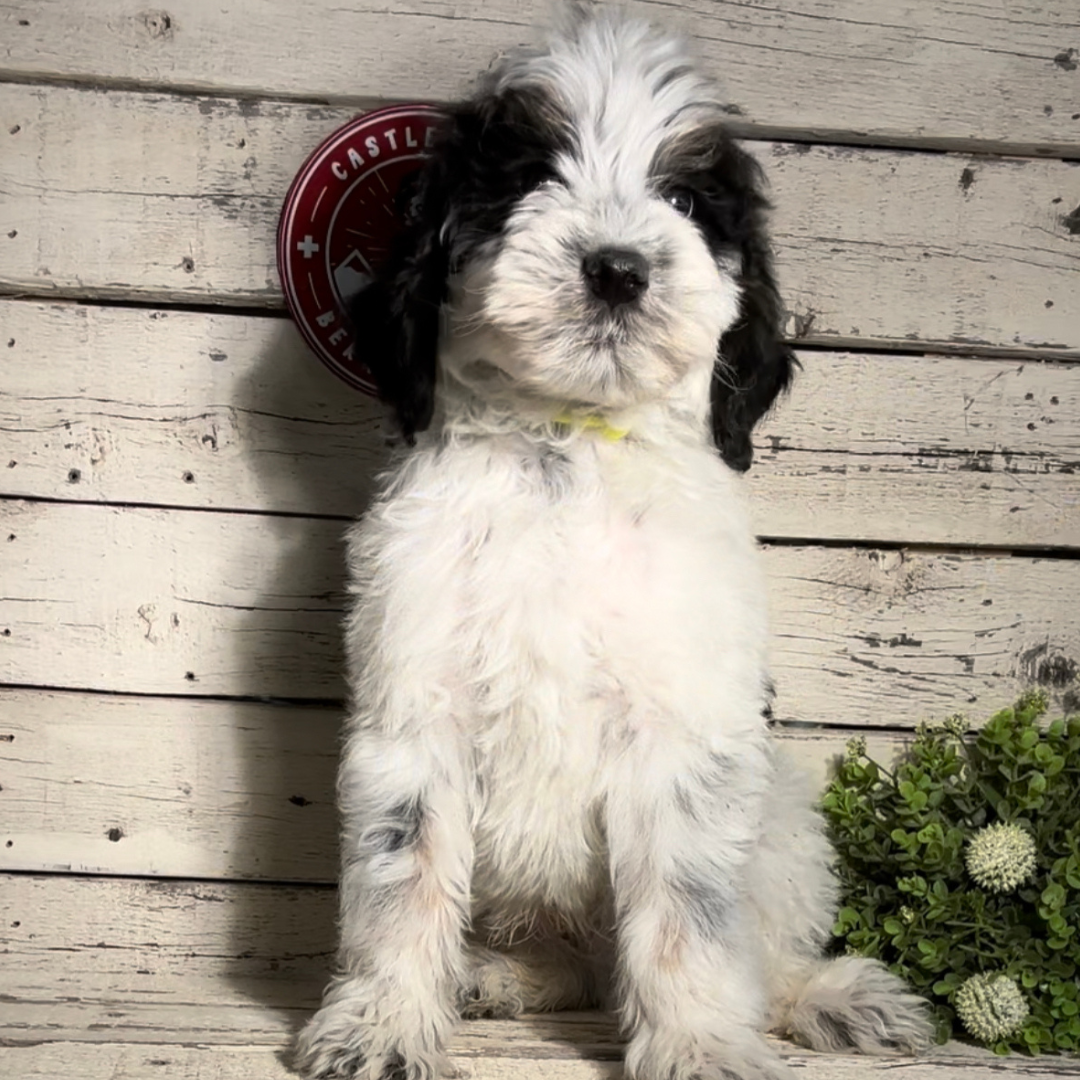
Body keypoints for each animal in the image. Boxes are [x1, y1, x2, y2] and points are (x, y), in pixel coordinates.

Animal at [295, 10, 928, 1080]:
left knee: (757, 949)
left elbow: (689, 909)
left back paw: (826, 998)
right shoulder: (413, 711)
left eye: (682, 198)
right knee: (576, 965)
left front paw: (702, 1045)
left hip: (783, 816)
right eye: (529, 176)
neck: (569, 451)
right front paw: (381, 1026)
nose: (618, 268)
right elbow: (402, 874)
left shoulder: (684, 727)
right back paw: (500, 977)